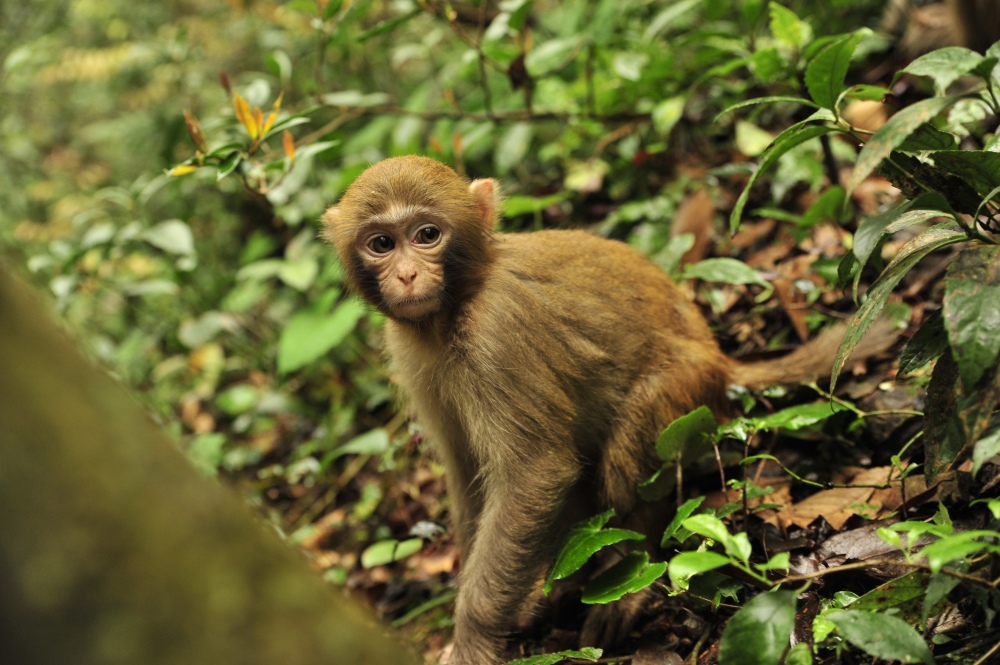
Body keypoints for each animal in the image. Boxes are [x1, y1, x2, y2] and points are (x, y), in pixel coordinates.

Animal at [322, 157, 892, 664]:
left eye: (426, 235)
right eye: (381, 244)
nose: (407, 274)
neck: (456, 305)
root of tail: (719, 359)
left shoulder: (498, 333)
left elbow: (535, 473)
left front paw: (474, 639)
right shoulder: (411, 354)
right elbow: (468, 476)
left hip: (686, 397)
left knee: (624, 459)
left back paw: (631, 578)